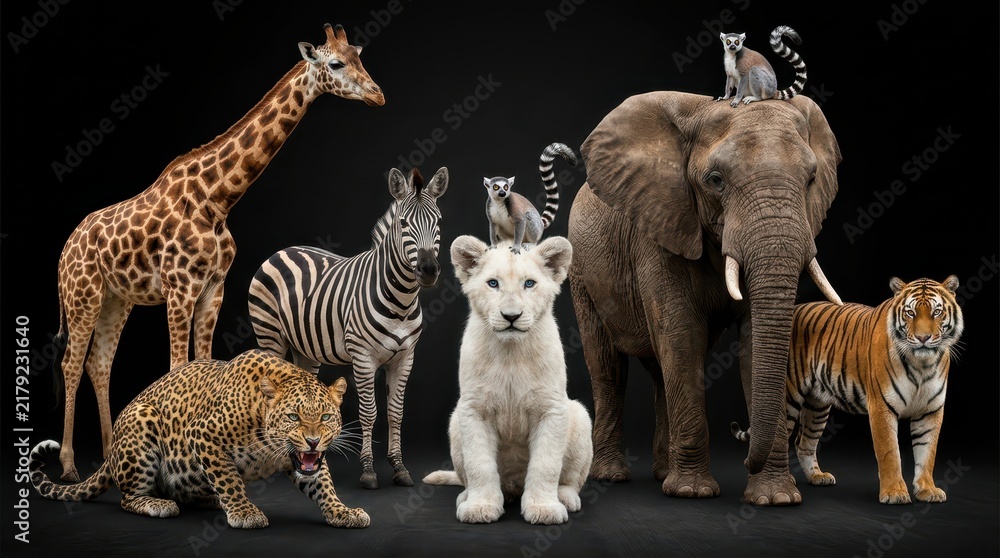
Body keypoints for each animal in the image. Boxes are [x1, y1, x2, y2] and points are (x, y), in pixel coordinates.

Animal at [568, 91, 843, 505]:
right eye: (715, 181)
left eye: (811, 179)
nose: (744, 448)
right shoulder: (659, 229)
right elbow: (683, 336)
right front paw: (692, 493)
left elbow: (752, 344)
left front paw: (775, 499)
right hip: (582, 273)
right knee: (608, 367)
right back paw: (612, 476)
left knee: (659, 370)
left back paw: (661, 473)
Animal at [732, 276, 964, 504]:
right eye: (910, 313)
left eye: (937, 312)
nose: (923, 338)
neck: (922, 365)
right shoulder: (882, 407)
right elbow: (889, 452)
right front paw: (894, 493)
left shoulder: (930, 411)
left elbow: (927, 453)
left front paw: (927, 490)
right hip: (788, 399)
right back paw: (781, 481)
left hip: (817, 406)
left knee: (803, 442)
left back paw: (818, 476)